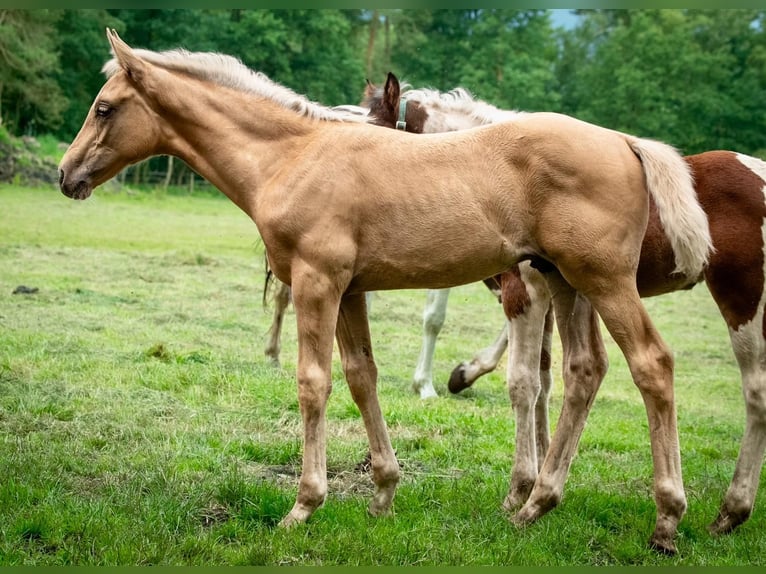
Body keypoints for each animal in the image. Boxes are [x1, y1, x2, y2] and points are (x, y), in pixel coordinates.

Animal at [58, 30, 712, 552]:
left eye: (105, 108)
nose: (66, 174)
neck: (291, 156)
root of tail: (624, 141)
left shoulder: (318, 282)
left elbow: (313, 383)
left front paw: (304, 505)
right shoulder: (349, 291)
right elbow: (361, 377)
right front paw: (383, 494)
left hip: (601, 281)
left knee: (652, 364)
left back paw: (666, 519)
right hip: (564, 281)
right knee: (583, 371)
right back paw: (535, 505)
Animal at [364, 72, 766, 540]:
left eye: (375, 130)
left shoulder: (525, 292)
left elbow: (523, 382)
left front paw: (520, 483)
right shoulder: (549, 293)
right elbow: (545, 378)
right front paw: (536, 470)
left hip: (740, 296)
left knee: (750, 388)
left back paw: (721, 510)